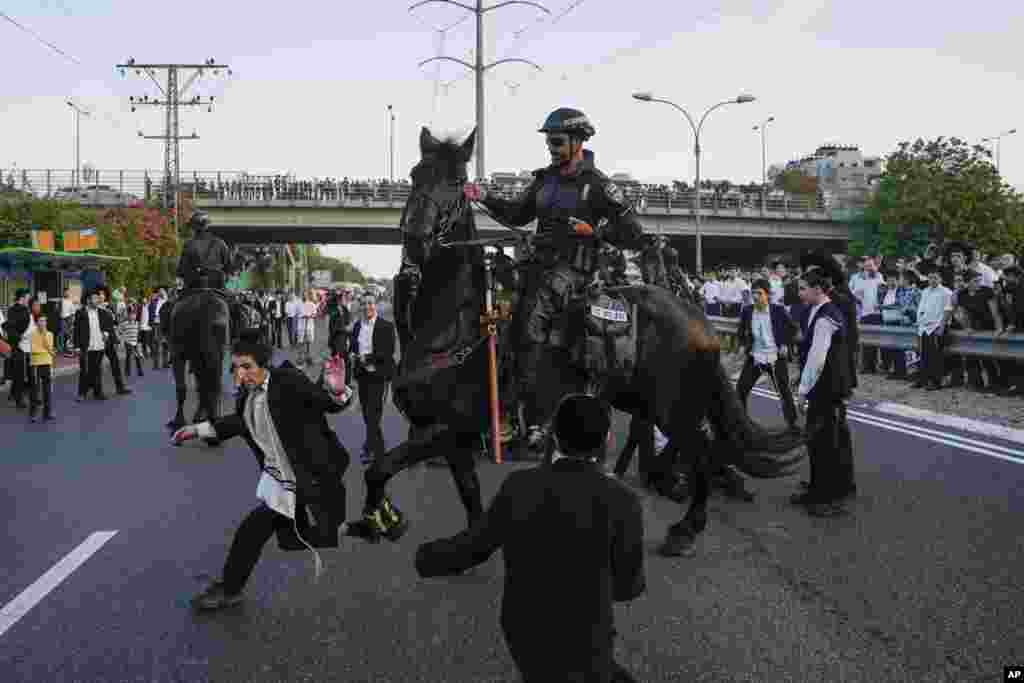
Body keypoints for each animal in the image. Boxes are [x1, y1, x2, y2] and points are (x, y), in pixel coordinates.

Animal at [352, 126, 806, 557]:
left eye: (457, 180)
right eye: (415, 174)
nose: (415, 238)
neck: (456, 326)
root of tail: (696, 316)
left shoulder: (448, 427)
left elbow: (379, 469)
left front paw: (381, 519)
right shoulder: (452, 436)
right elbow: (468, 495)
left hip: (672, 404)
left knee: (702, 451)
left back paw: (685, 527)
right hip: (642, 399)